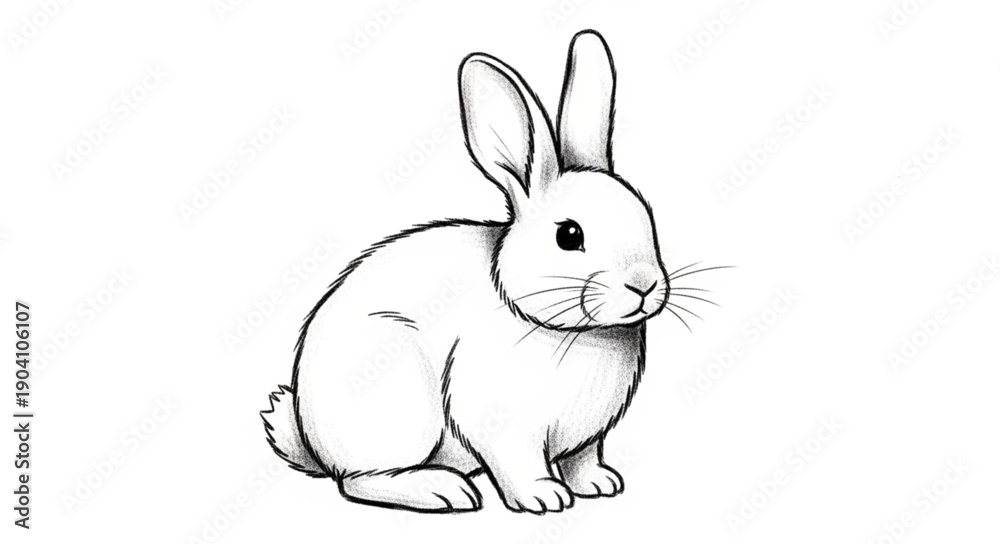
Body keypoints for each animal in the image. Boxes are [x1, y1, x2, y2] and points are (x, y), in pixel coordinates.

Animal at [261, 29, 670, 514]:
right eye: (569, 235)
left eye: (647, 218)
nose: (644, 284)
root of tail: (311, 438)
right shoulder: (502, 429)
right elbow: (518, 465)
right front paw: (544, 497)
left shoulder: (587, 439)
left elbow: (584, 459)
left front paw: (600, 483)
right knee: (358, 481)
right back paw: (442, 490)